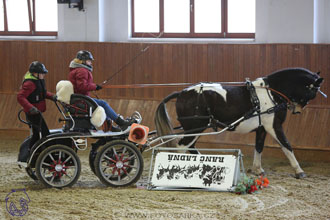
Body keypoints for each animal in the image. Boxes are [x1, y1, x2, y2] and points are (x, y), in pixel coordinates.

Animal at [155, 67, 324, 179]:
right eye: (314, 91)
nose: (297, 110)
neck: (271, 93)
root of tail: (182, 93)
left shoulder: (262, 128)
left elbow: (259, 147)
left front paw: (257, 169)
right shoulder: (274, 126)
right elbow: (287, 146)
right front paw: (299, 170)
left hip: (195, 128)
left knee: (190, 147)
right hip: (195, 127)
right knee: (182, 147)